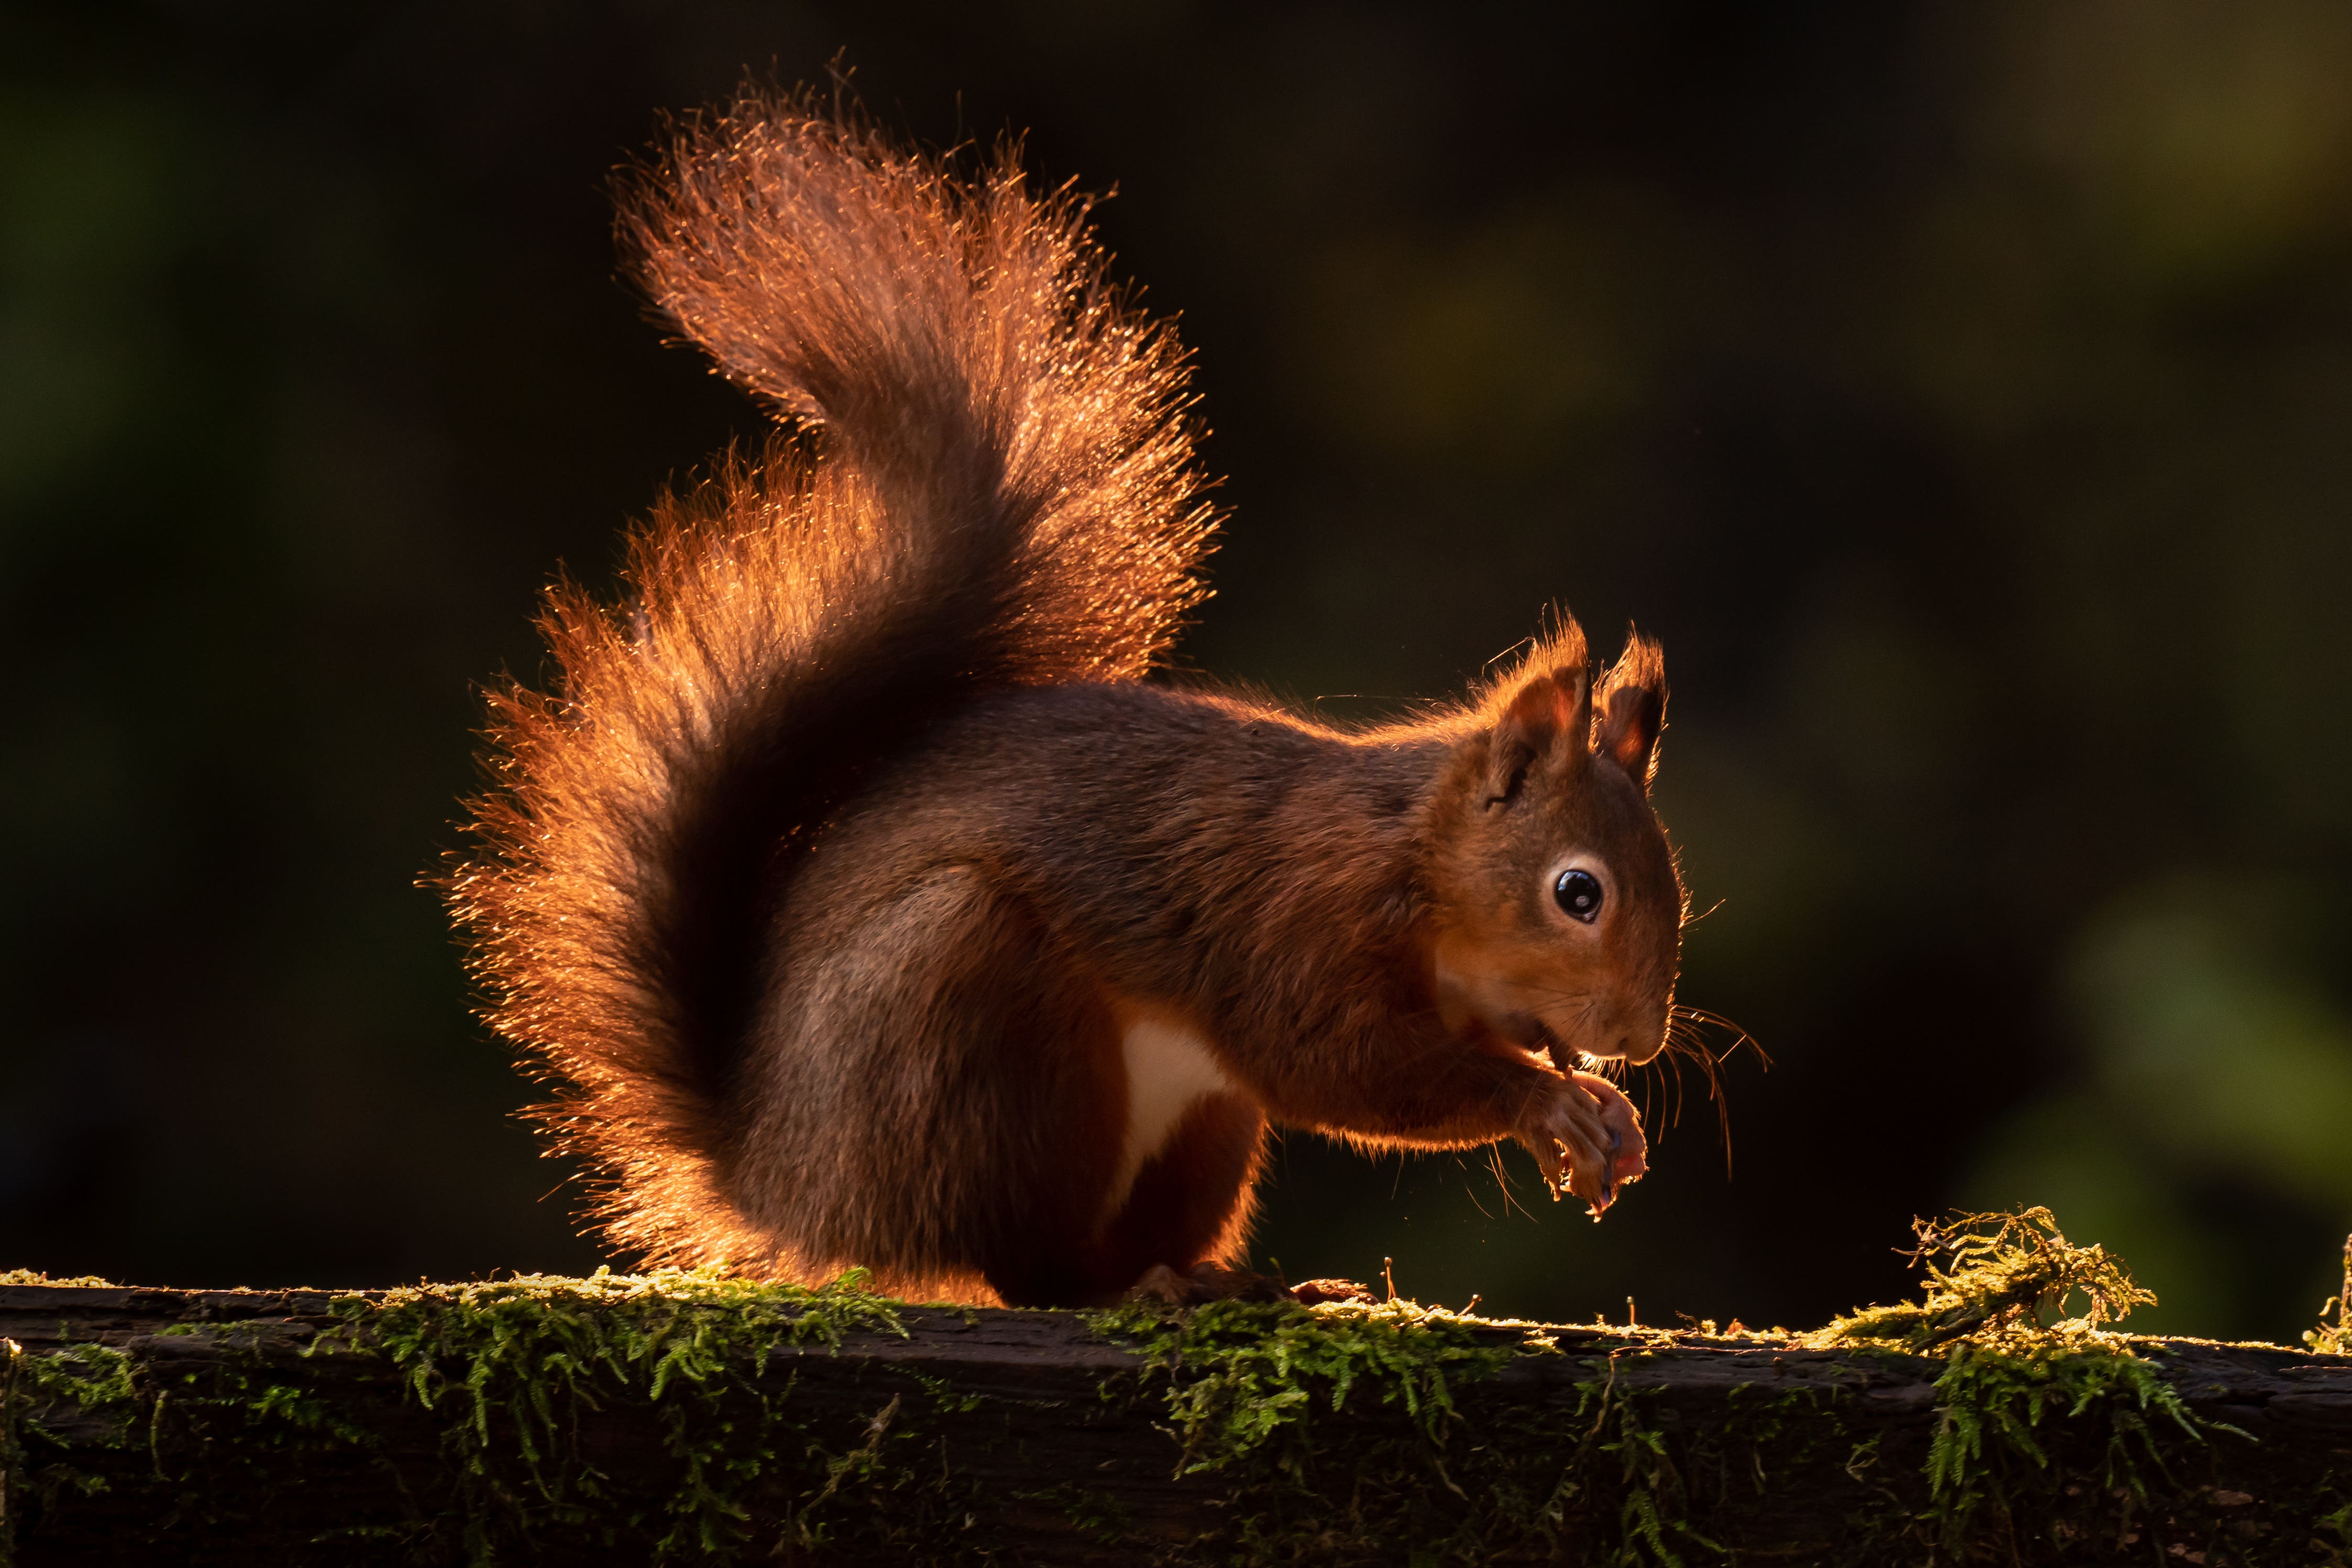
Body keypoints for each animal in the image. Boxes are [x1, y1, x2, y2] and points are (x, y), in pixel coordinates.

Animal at [444, 89, 1693, 1316]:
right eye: (1577, 892)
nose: (1637, 1040)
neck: (1416, 859)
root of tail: (775, 1173)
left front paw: (1610, 1121)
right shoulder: (1291, 922)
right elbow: (1341, 1067)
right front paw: (1549, 1104)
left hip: (1199, 1122)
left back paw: (1234, 1277)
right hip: (969, 1013)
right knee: (1020, 1263)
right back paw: (1133, 1287)